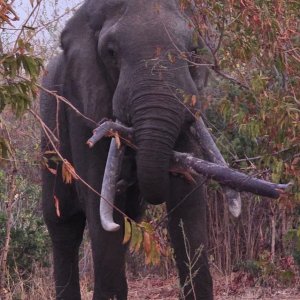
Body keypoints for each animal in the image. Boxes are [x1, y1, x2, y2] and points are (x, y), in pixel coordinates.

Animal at [40, 0, 213, 298]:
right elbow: (101, 207)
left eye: (192, 51)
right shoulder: (82, 112)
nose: (124, 180)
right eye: (111, 53)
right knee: (64, 225)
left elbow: (187, 205)